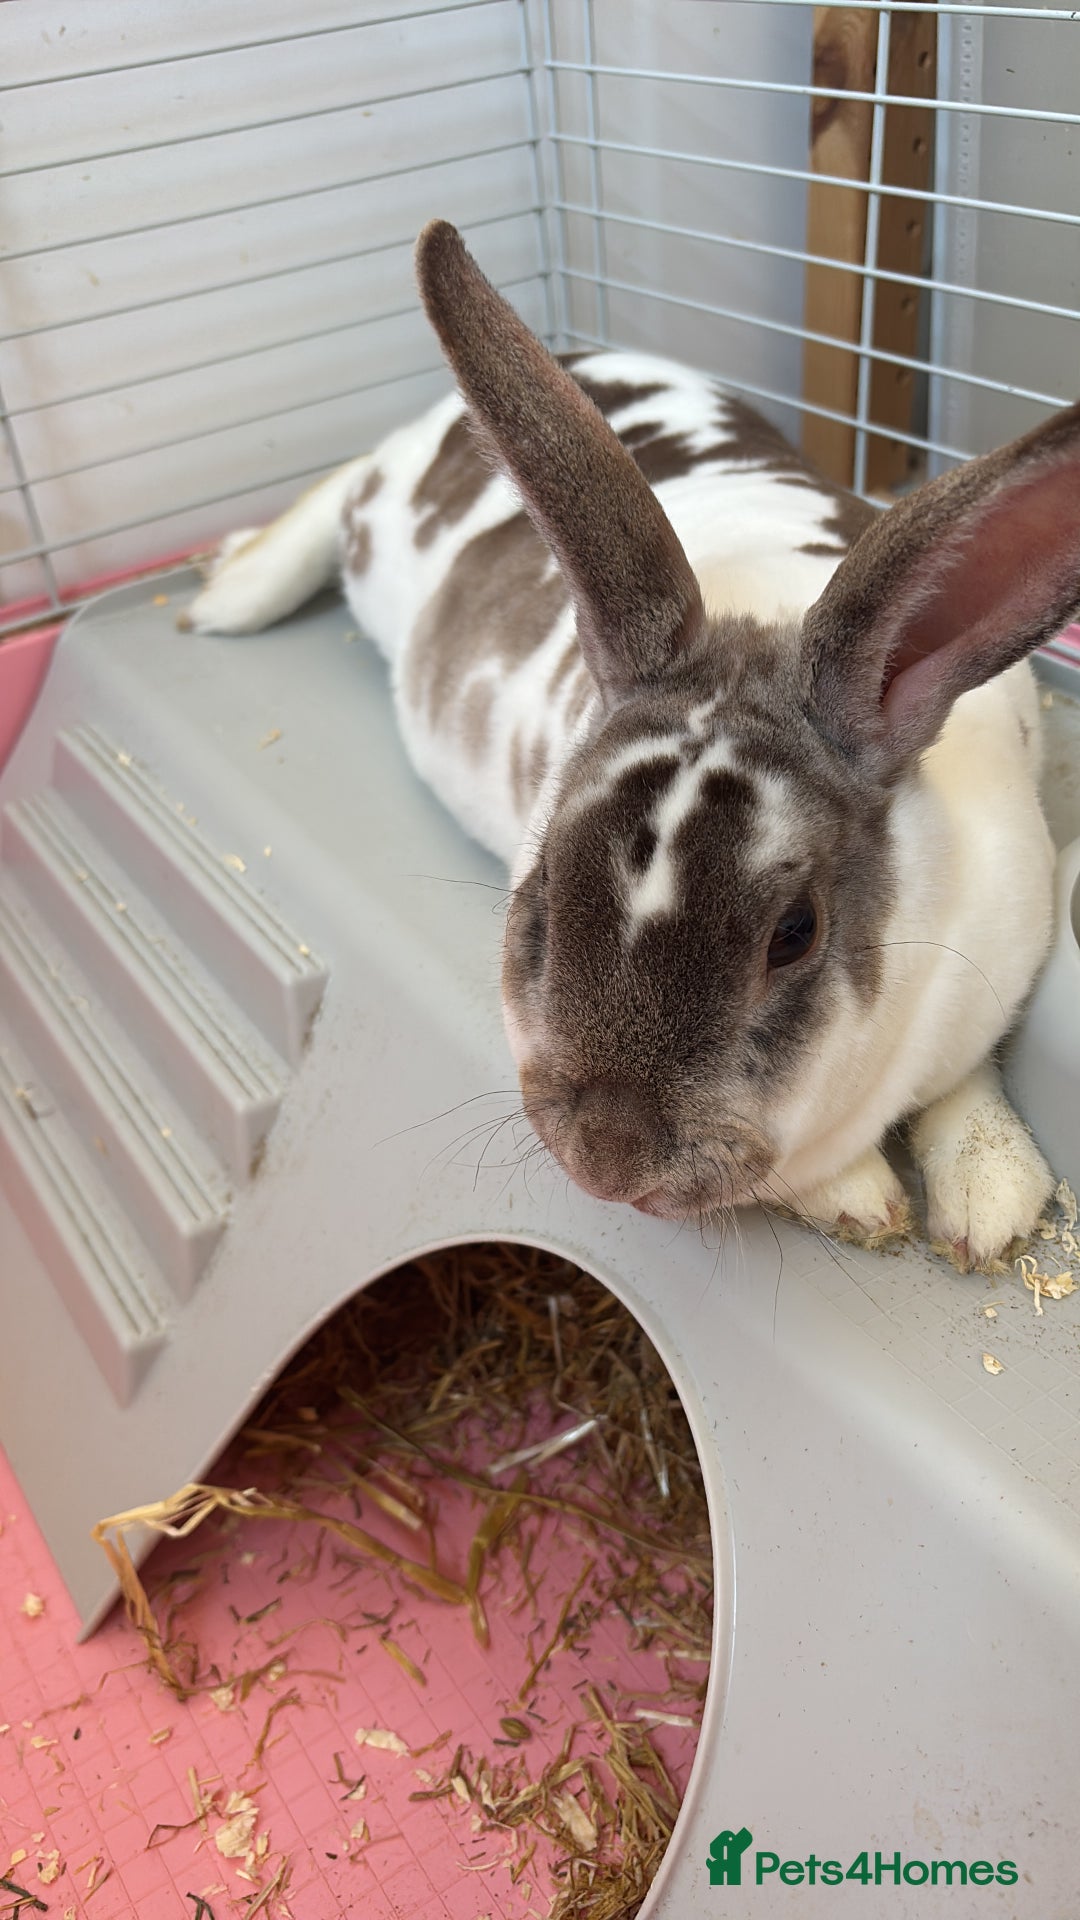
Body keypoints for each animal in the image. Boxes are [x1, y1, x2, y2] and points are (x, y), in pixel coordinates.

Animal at [185, 220, 1080, 1272]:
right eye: (541, 884)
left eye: (795, 933)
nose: (608, 1158)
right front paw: (862, 1201)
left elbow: (968, 1080)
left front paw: (990, 1203)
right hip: (376, 515)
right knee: (335, 493)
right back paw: (223, 592)